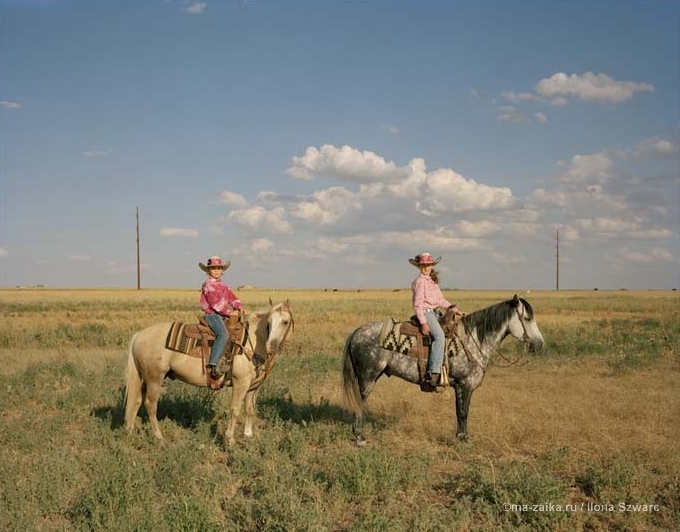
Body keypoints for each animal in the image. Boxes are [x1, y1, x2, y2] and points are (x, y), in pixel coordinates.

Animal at [123, 300, 294, 444]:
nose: (271, 346)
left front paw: (248, 436)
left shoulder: (254, 387)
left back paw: (130, 432)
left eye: (285, 322)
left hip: (144, 378)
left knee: (136, 400)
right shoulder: (241, 383)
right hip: (155, 378)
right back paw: (159, 437)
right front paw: (230, 439)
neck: (251, 342)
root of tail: (139, 335)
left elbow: (250, 410)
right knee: (150, 404)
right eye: (269, 323)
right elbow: (235, 410)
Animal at [342, 296, 544, 444]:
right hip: (368, 377)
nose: (540, 344)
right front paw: (463, 440)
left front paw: (462, 436)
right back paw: (359, 437)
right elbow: (463, 412)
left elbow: (461, 412)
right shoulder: (464, 385)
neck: (474, 341)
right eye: (527, 318)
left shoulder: (462, 387)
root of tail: (356, 332)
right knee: (359, 402)